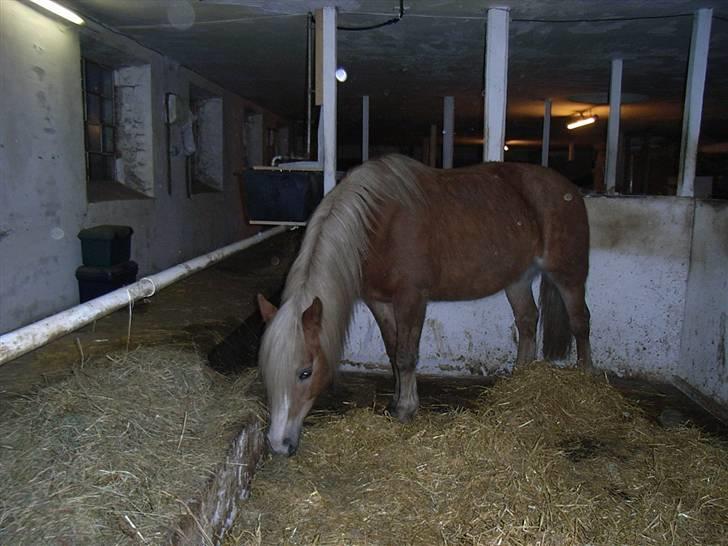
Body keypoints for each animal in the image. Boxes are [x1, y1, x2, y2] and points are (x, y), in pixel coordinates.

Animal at [256, 154, 592, 454]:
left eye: (305, 372)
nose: (278, 444)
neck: (375, 226)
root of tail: (569, 189)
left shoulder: (411, 296)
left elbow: (407, 355)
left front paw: (406, 408)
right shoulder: (379, 301)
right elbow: (393, 352)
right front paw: (396, 401)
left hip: (568, 276)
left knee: (580, 322)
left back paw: (586, 376)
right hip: (518, 279)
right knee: (526, 320)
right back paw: (520, 378)